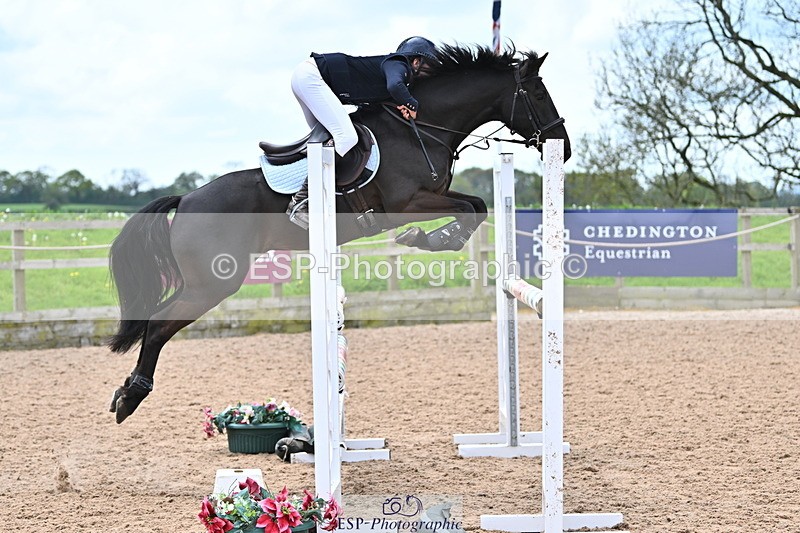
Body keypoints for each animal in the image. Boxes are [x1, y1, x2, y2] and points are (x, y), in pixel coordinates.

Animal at [108, 44, 571, 423]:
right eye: (540, 94)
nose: (563, 148)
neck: (422, 127)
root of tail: (186, 199)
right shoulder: (408, 203)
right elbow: (467, 211)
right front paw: (428, 239)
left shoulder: (436, 194)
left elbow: (476, 206)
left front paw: (433, 240)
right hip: (213, 284)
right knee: (158, 325)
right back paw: (131, 396)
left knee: (155, 322)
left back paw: (125, 392)